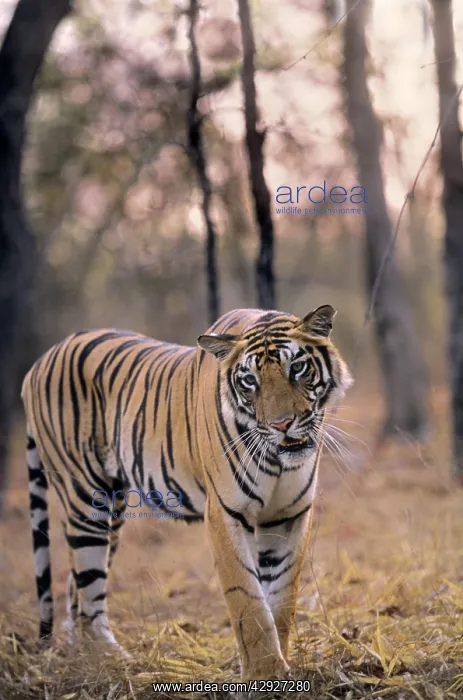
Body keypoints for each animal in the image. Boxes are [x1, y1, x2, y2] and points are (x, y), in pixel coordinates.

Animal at [21, 305, 352, 681]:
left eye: (297, 367)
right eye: (249, 381)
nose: (282, 424)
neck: (277, 459)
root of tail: (38, 363)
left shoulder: (287, 516)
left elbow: (281, 597)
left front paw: (281, 665)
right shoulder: (225, 513)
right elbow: (248, 597)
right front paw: (265, 672)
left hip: (111, 511)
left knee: (75, 586)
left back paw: (84, 660)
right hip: (85, 500)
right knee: (88, 588)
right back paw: (111, 660)